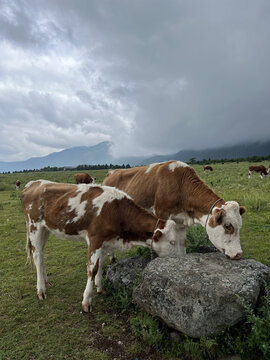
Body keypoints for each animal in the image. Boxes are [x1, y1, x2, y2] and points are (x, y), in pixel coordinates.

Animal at [21, 180, 181, 312]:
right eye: (172, 242)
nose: (180, 259)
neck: (117, 210)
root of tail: (33, 183)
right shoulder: (95, 239)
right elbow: (93, 269)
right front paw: (86, 301)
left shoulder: (106, 241)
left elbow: (102, 264)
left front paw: (100, 287)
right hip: (34, 226)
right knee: (37, 255)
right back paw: (41, 289)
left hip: (45, 228)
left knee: (41, 254)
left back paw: (46, 281)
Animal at [102, 160, 246, 258]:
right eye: (228, 226)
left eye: (240, 226)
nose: (239, 254)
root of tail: (112, 172)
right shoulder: (161, 215)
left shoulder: (180, 221)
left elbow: (181, 243)